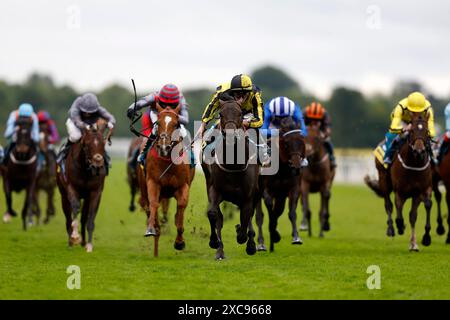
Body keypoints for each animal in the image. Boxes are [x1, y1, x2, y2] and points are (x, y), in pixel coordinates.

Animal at [56, 119, 113, 251]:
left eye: (103, 144)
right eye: (86, 145)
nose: (98, 163)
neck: (85, 171)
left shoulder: (95, 192)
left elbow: (90, 216)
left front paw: (89, 245)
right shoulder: (72, 188)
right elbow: (75, 208)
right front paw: (75, 236)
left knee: (83, 217)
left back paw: (82, 242)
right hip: (63, 195)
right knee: (68, 218)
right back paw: (70, 242)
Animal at [136, 102, 194, 258]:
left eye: (176, 124)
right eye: (157, 123)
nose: (164, 147)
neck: (168, 160)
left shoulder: (183, 186)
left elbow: (181, 207)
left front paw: (179, 242)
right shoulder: (153, 183)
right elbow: (154, 204)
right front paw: (151, 229)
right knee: (148, 206)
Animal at [201, 100, 260, 260]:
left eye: (240, 114)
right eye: (221, 114)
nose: (230, 135)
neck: (233, 163)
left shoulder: (248, 196)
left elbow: (246, 217)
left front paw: (246, 239)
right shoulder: (214, 190)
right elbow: (213, 214)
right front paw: (214, 242)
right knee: (219, 218)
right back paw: (220, 252)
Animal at [255, 116, 308, 251]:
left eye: (302, 142)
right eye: (286, 143)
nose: (296, 167)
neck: (282, 170)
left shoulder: (293, 189)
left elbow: (291, 213)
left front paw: (296, 237)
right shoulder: (267, 190)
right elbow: (269, 211)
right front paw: (273, 235)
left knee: (278, 210)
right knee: (259, 216)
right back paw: (261, 243)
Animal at [366, 112, 436, 250]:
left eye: (426, 131)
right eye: (412, 131)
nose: (419, 151)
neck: (414, 164)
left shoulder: (422, 190)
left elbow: (420, 211)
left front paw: (422, 240)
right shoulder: (400, 191)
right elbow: (398, 208)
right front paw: (400, 226)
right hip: (383, 179)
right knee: (388, 205)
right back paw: (391, 229)